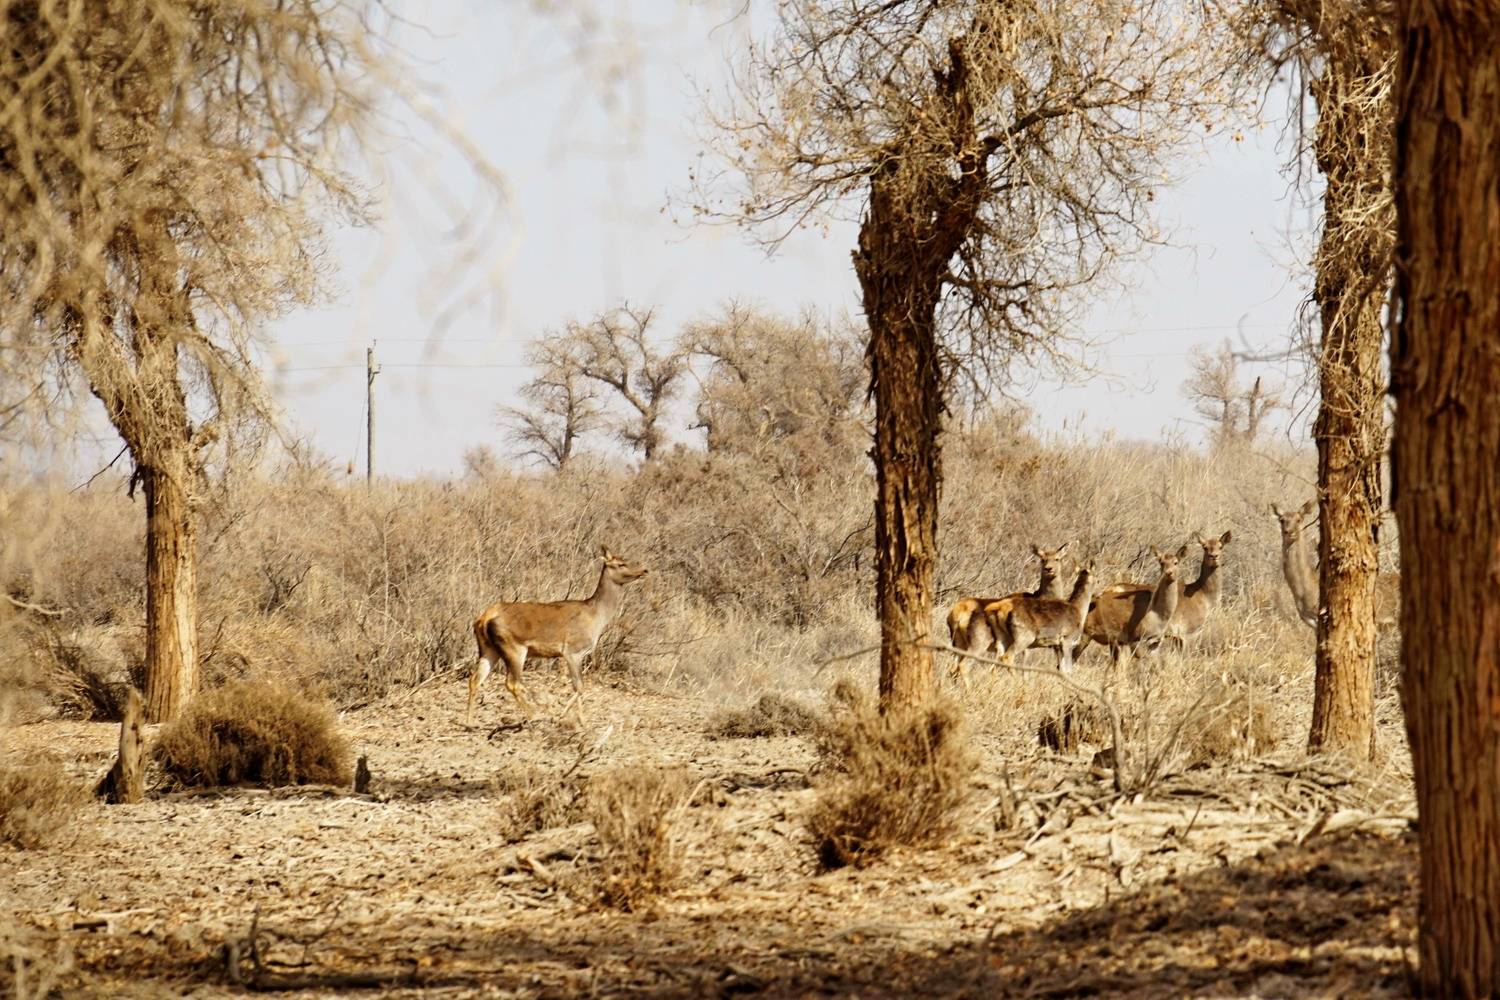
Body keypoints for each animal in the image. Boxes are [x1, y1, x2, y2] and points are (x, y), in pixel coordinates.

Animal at [465, 542, 648, 722]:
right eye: (620, 564)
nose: (644, 570)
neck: (597, 618)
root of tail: (484, 618)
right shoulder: (572, 651)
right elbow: (579, 686)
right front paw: (571, 717)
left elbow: (579, 687)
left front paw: (577, 718)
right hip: (513, 647)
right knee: (511, 682)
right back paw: (534, 715)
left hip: (489, 648)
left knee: (475, 679)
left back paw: (470, 722)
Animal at [942, 539, 1074, 689]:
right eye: (1042, 559)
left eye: (1058, 559)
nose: (1049, 569)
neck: (1040, 597)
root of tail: (956, 614)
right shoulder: (1027, 643)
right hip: (978, 643)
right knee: (964, 666)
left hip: (957, 643)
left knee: (953, 669)